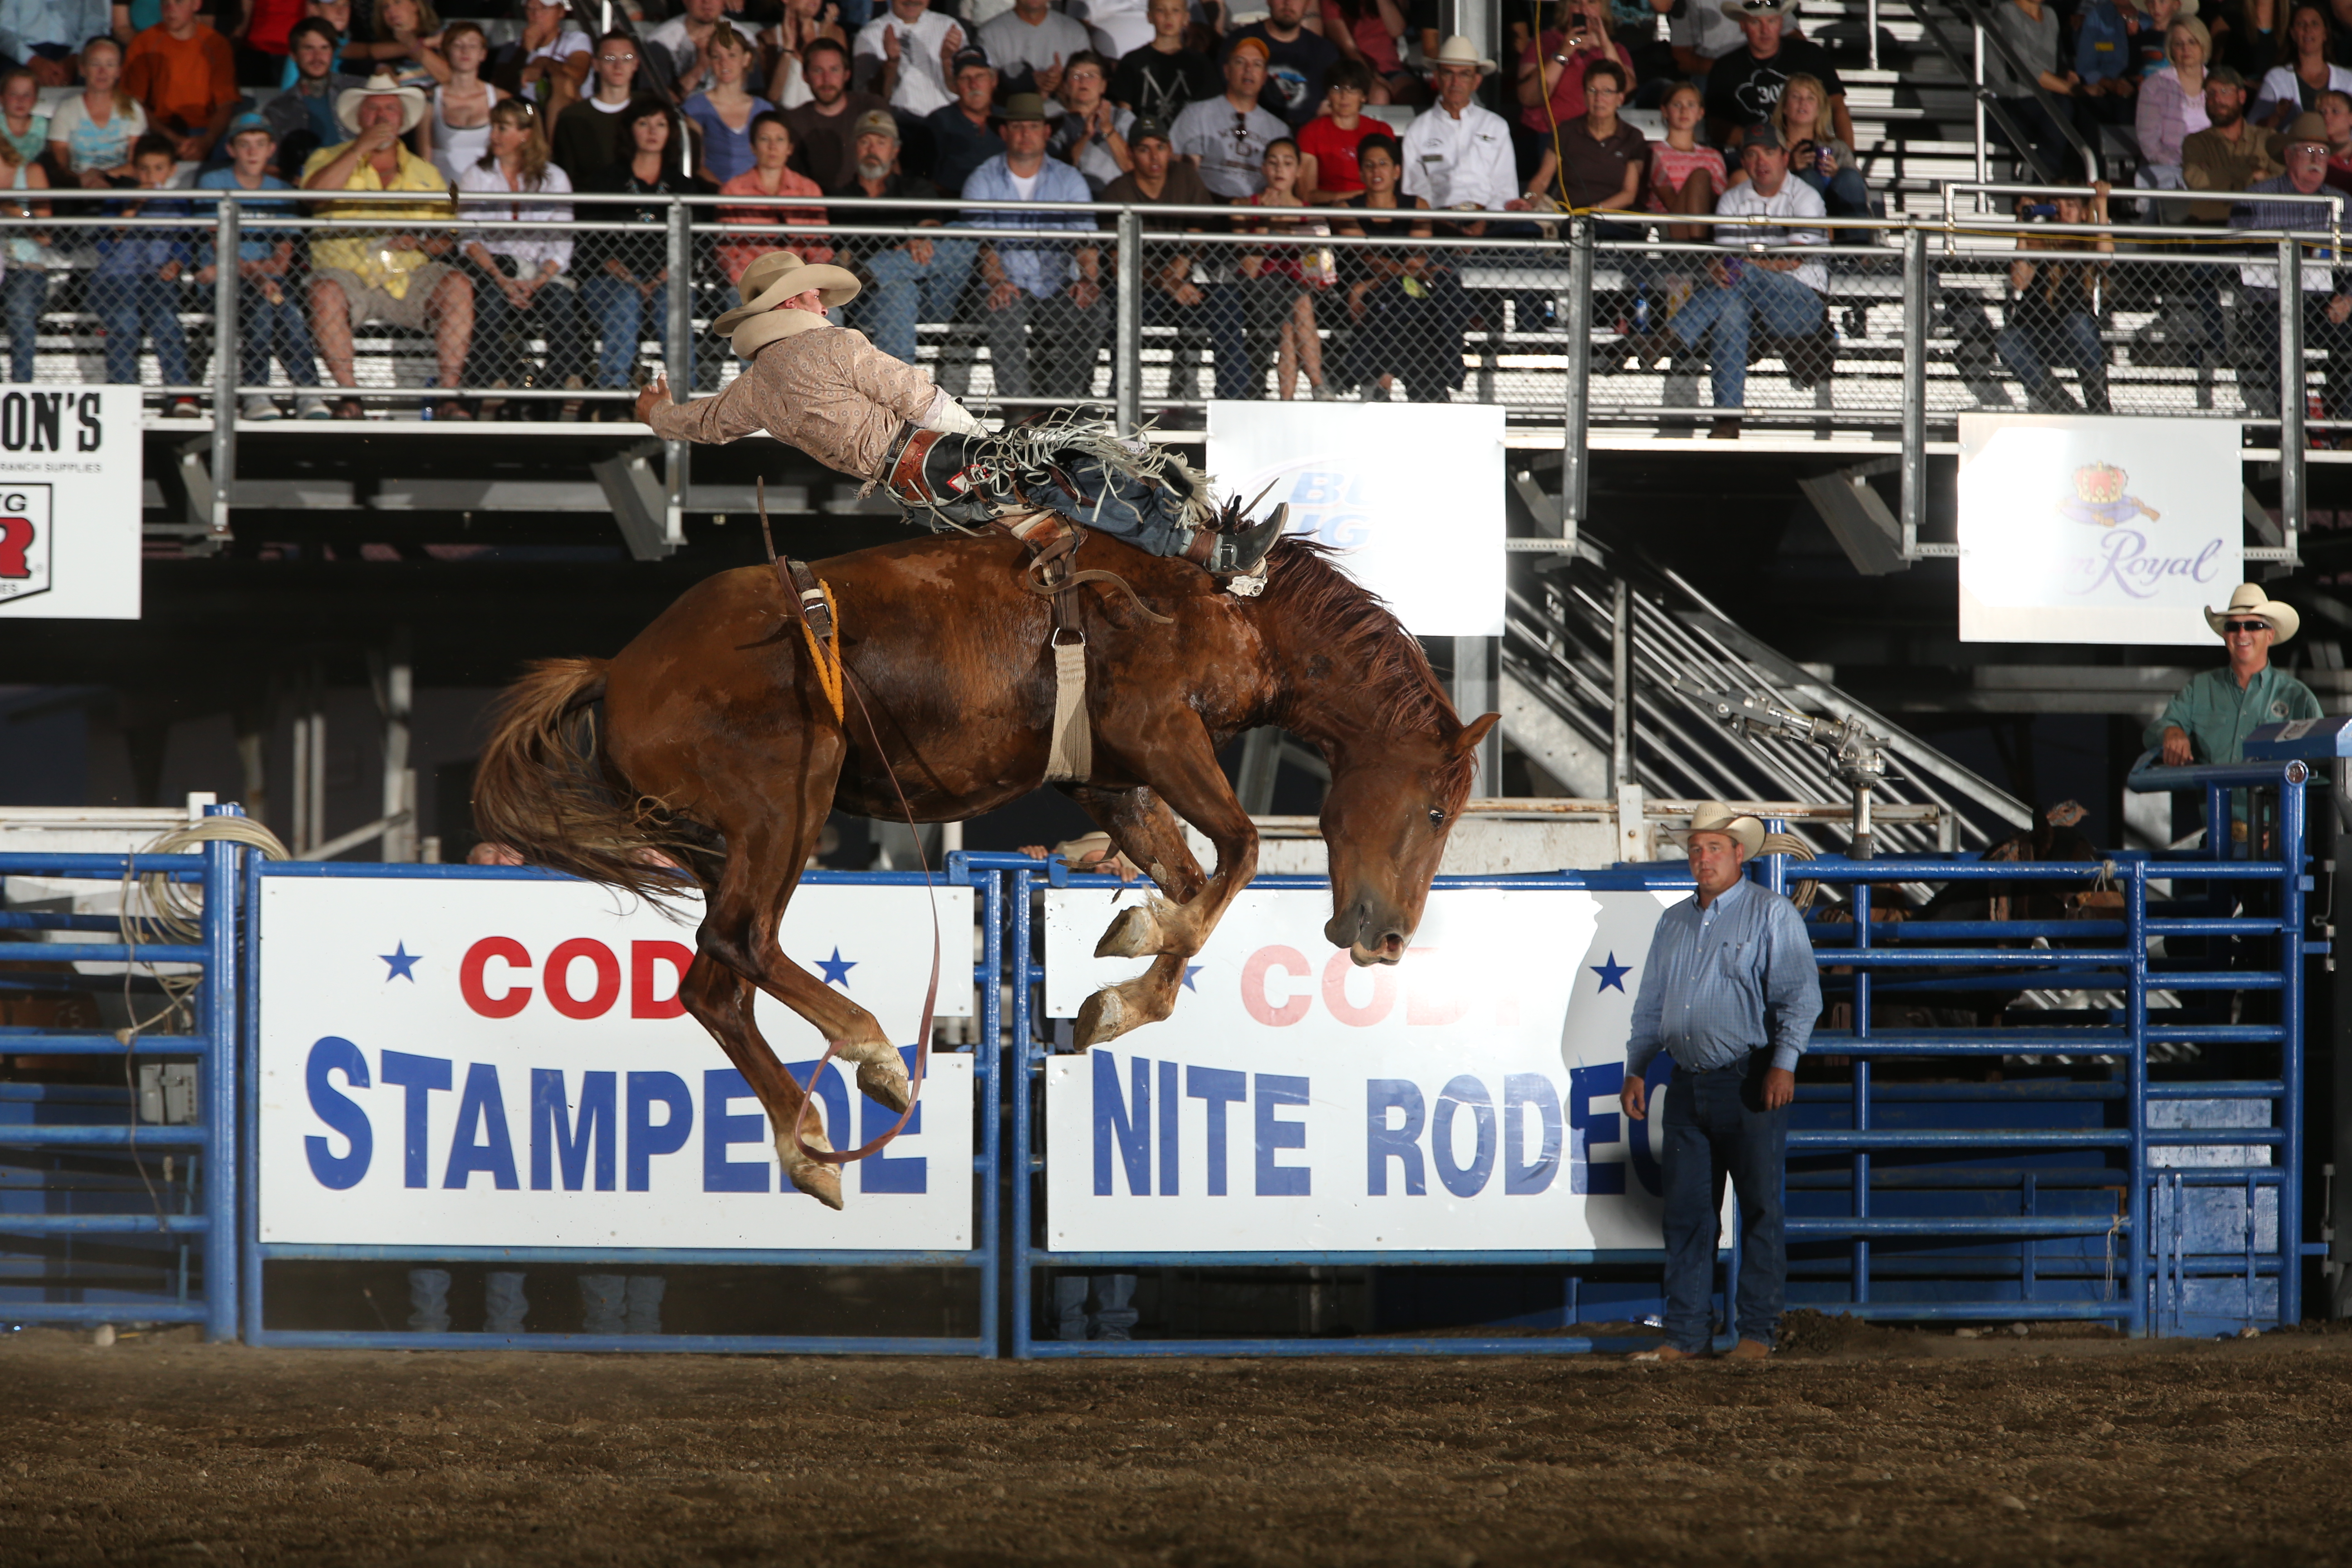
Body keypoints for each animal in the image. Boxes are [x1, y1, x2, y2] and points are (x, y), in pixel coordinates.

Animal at [475, 534, 1496, 1213]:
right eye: (1435, 810)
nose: (1389, 939)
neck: (1226, 609)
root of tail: (620, 669)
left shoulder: (1112, 777)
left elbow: (1188, 879)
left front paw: (1120, 988)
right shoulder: (1161, 735)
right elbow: (1238, 852)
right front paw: (1142, 948)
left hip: (733, 838)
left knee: (714, 986)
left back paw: (810, 1147)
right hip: (785, 800)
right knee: (740, 941)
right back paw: (875, 1053)